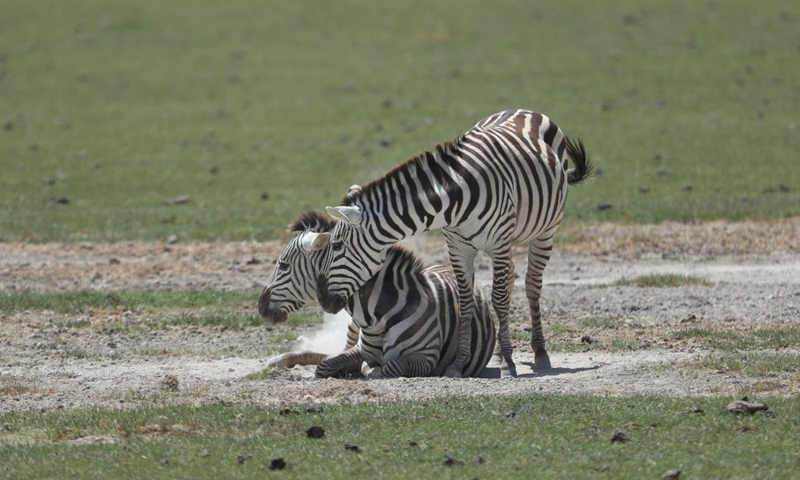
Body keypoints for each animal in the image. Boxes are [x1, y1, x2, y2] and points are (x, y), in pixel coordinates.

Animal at [258, 210, 496, 378]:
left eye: (284, 265)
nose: (260, 306)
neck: (379, 314)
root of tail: (446, 267)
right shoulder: (361, 349)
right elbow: (327, 364)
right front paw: (350, 368)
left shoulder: (427, 357)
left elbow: (390, 366)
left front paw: (367, 369)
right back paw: (279, 359)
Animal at [316, 108, 593, 377]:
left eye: (337, 246)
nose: (325, 301)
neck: (455, 197)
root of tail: (525, 110)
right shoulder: (458, 246)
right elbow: (465, 302)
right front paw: (459, 364)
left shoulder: (498, 243)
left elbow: (499, 298)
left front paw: (508, 365)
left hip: (546, 230)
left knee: (532, 285)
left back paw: (539, 353)